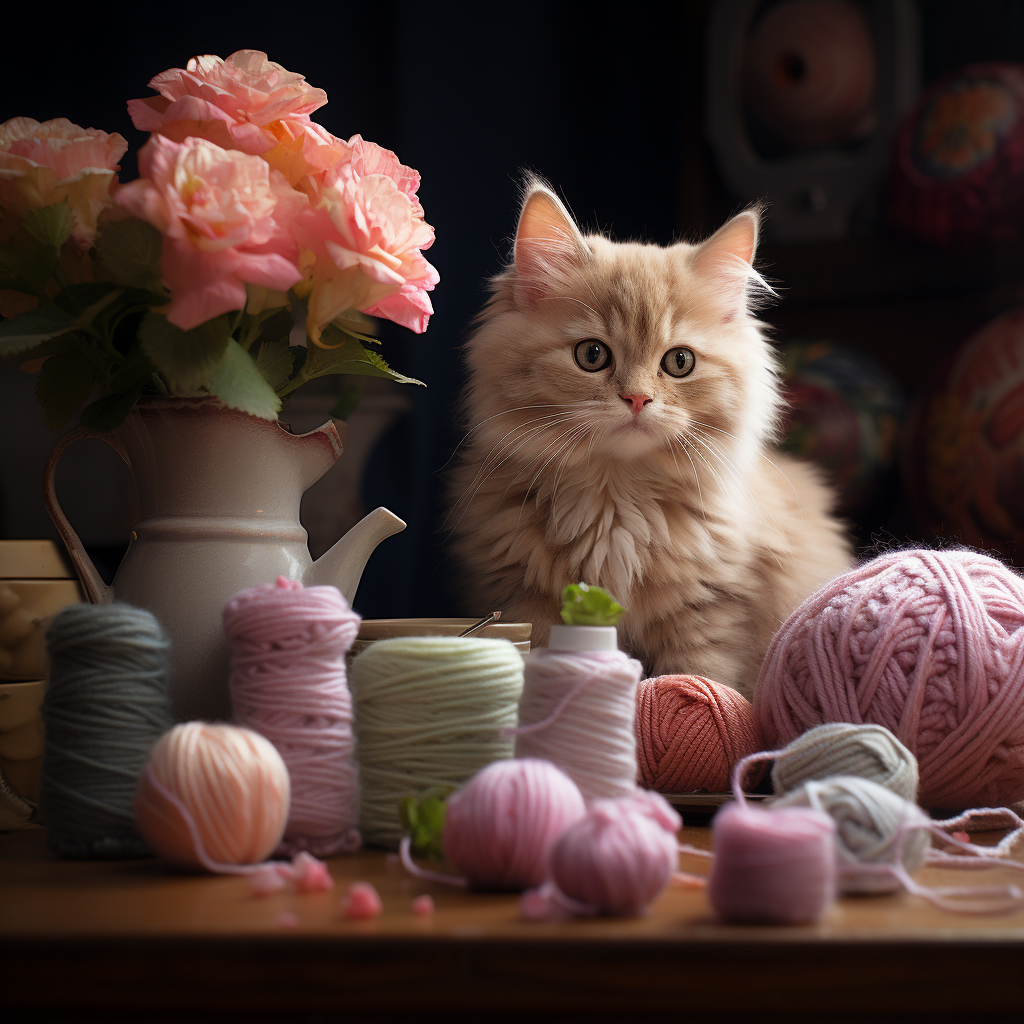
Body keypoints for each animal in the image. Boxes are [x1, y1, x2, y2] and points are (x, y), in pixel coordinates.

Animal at [448, 180, 847, 700]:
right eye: (592, 355)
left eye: (679, 362)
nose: (637, 399)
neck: (615, 503)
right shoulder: (525, 602)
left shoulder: (712, 617)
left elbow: (702, 680)